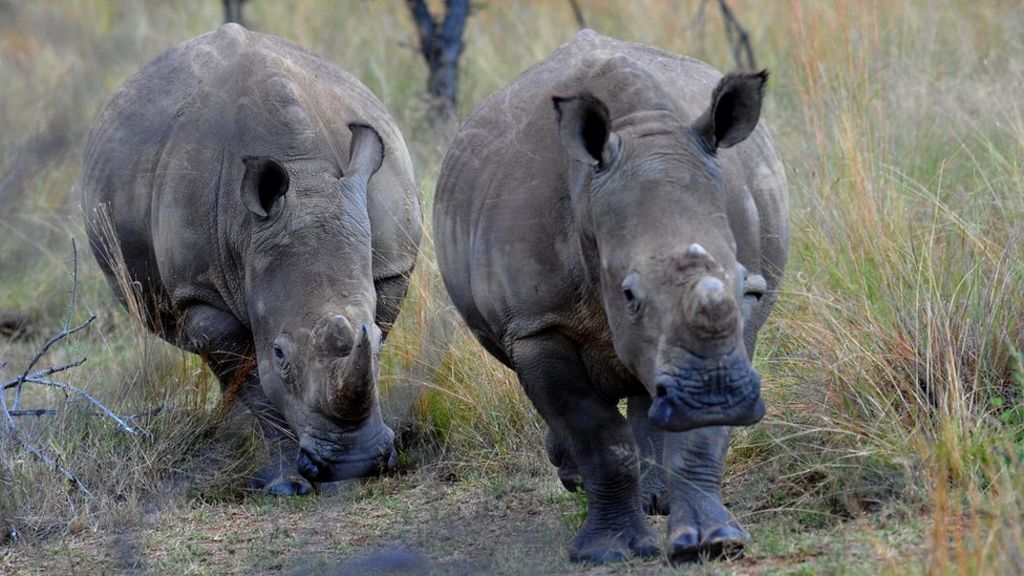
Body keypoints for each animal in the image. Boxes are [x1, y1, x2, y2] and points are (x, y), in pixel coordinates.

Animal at [80, 24, 422, 495]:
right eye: (279, 352)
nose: (355, 463)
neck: (305, 173)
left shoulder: (391, 266)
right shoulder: (200, 294)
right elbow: (256, 385)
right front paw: (287, 483)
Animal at [434, 30, 788, 563]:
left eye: (745, 279)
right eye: (628, 294)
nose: (713, 397)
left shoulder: (737, 318)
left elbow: (700, 435)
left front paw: (712, 542)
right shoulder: (537, 323)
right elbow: (595, 433)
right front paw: (609, 552)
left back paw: (656, 502)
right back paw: (581, 482)